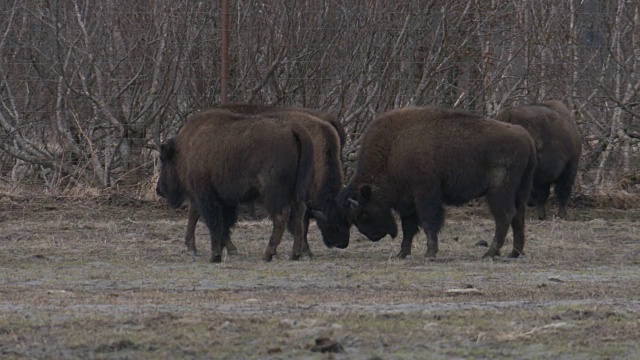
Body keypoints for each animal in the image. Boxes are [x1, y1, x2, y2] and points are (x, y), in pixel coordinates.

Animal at [156, 108, 314, 262]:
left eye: (163, 160)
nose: (159, 190)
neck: (187, 148)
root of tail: (291, 129)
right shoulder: (219, 199)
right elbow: (217, 222)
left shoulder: (206, 196)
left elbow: (214, 223)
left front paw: (215, 255)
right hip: (295, 192)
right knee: (299, 213)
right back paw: (295, 254)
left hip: (273, 193)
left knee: (281, 216)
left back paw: (267, 255)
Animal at [338, 106, 536, 258]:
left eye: (363, 214)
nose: (375, 236)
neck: (392, 150)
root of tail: (525, 135)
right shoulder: (407, 203)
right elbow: (408, 228)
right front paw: (402, 254)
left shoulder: (425, 195)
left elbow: (428, 223)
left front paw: (430, 253)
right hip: (521, 190)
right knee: (518, 216)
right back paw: (514, 253)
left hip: (498, 192)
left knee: (504, 216)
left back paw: (490, 253)